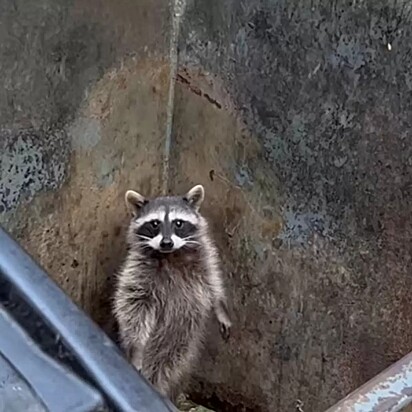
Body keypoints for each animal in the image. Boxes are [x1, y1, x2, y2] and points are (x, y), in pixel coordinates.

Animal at [112, 184, 230, 402]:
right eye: (155, 223)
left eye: (178, 223)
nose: (166, 243)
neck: (171, 255)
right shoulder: (138, 272)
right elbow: (134, 308)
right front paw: (136, 346)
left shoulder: (204, 259)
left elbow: (213, 282)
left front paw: (220, 307)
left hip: (182, 341)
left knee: (170, 364)